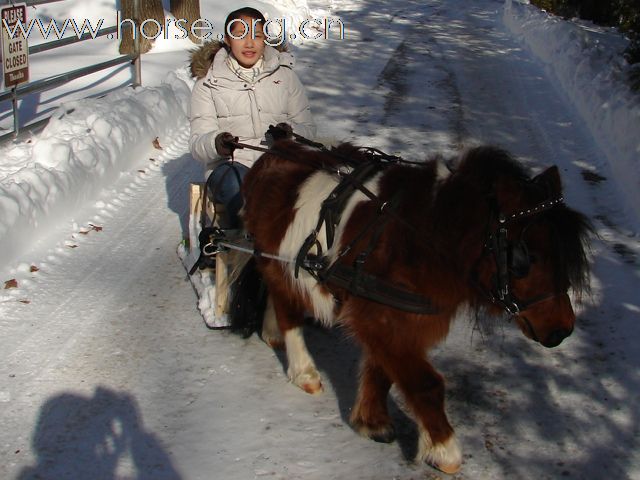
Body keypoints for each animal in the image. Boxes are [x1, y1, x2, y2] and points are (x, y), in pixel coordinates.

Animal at [232, 141, 592, 474]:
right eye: (526, 259)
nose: (561, 330)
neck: (424, 236)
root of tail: (275, 149)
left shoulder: (388, 317)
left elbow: (383, 369)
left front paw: (372, 421)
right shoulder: (383, 319)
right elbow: (426, 384)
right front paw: (445, 450)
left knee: (279, 294)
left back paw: (272, 332)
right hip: (276, 258)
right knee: (289, 310)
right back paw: (303, 370)